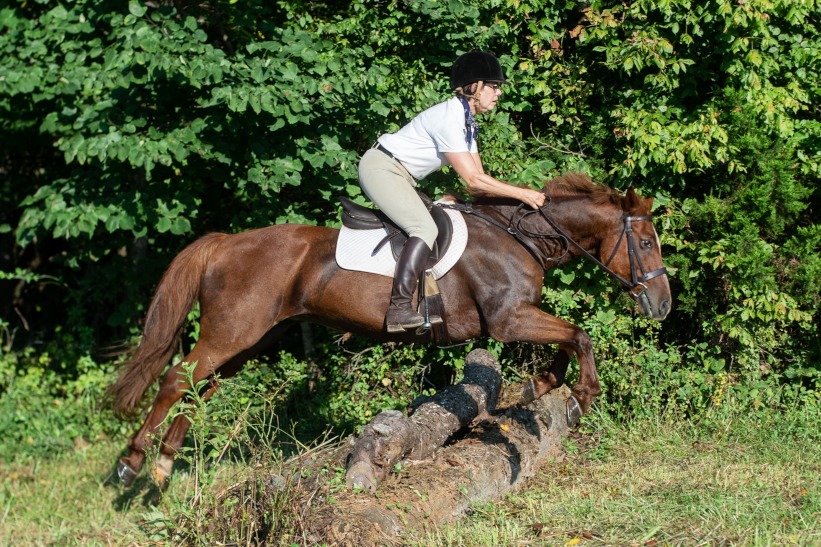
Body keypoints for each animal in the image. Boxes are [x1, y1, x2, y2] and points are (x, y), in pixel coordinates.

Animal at [109, 173, 668, 486]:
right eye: (644, 242)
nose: (661, 305)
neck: (519, 237)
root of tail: (224, 243)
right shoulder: (509, 322)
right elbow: (580, 335)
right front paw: (579, 399)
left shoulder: (520, 318)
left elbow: (568, 340)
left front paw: (542, 385)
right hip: (229, 335)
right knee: (177, 380)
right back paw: (132, 464)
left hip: (249, 342)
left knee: (198, 390)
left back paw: (162, 466)